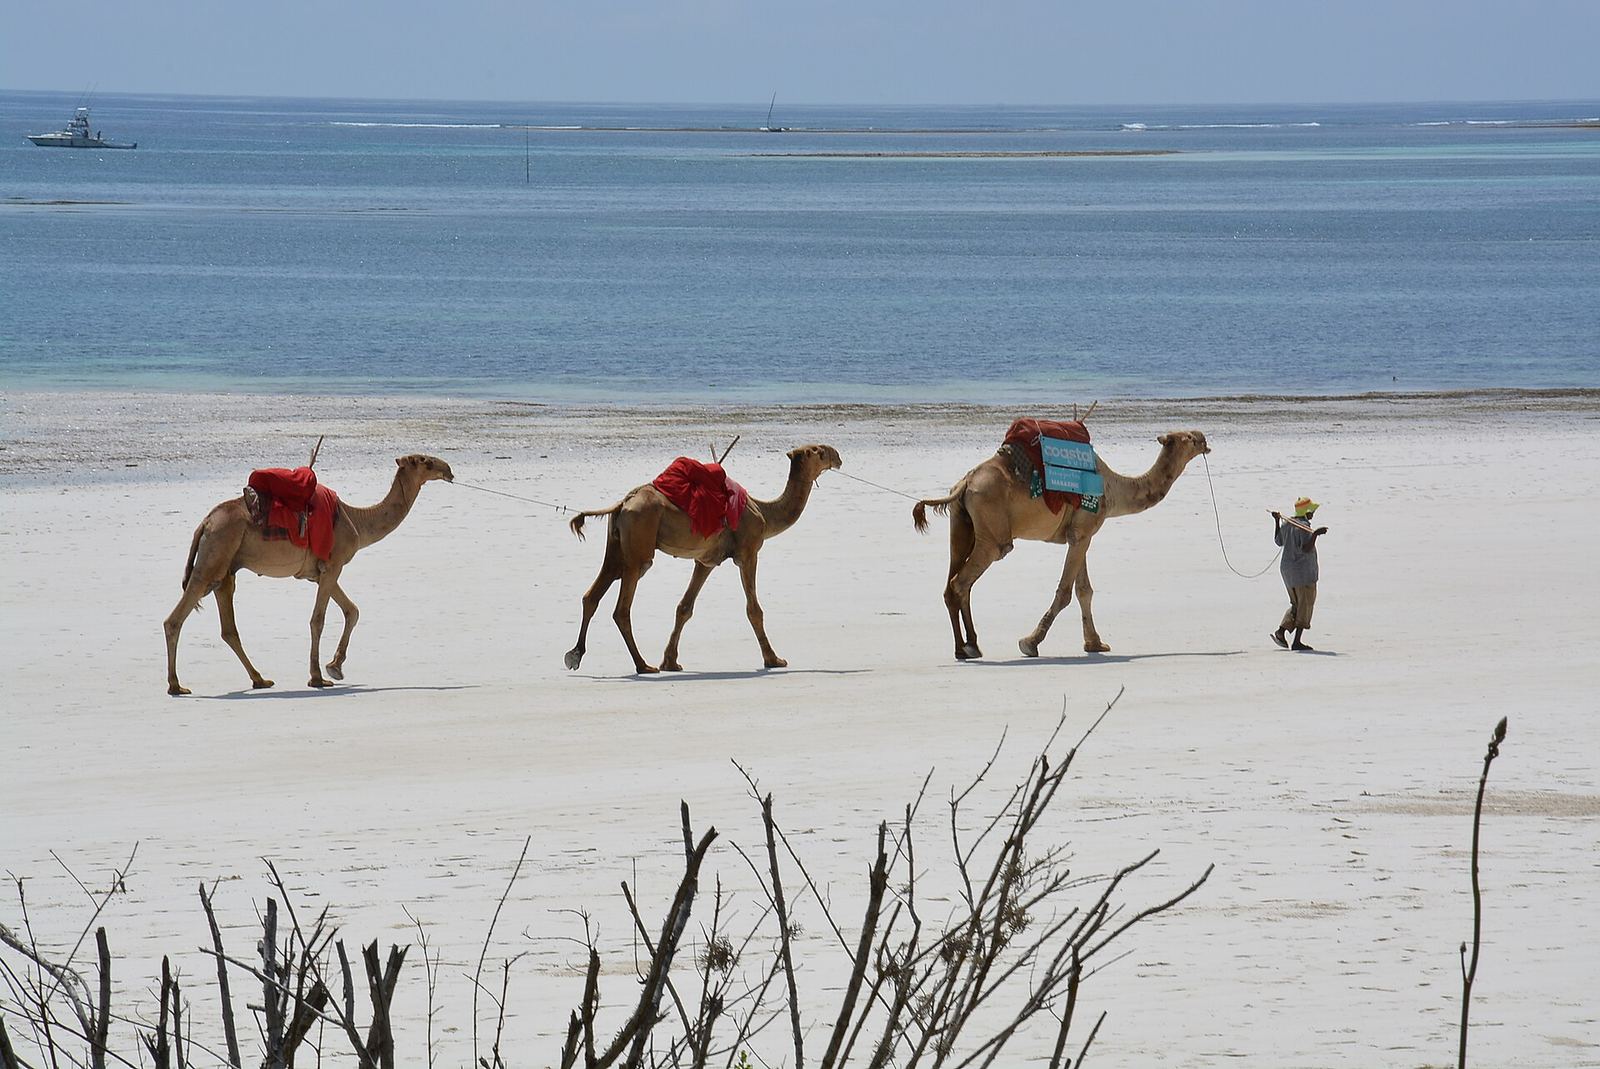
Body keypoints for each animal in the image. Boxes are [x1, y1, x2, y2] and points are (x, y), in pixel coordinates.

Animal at [163, 454, 455, 695]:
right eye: (425, 461)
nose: (449, 470)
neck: (356, 519)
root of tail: (205, 523)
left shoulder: (321, 571)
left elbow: (352, 610)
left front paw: (335, 667)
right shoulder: (334, 565)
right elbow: (318, 620)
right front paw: (317, 677)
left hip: (225, 569)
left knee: (228, 627)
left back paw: (260, 679)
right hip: (214, 555)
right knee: (175, 619)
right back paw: (176, 685)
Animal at [563, 444, 843, 674]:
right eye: (818, 451)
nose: (838, 456)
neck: (764, 511)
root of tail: (623, 503)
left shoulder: (706, 561)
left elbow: (684, 608)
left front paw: (671, 662)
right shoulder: (748, 552)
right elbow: (754, 609)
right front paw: (774, 660)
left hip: (616, 547)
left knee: (593, 594)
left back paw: (576, 654)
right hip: (638, 548)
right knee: (622, 608)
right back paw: (643, 665)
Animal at [913, 430, 1210, 660]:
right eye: (1188, 438)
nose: (1203, 438)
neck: (1112, 487)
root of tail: (965, 483)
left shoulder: (1079, 533)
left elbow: (1083, 590)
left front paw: (1095, 643)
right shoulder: (1083, 531)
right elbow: (1066, 591)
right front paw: (1030, 642)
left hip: (961, 524)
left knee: (953, 582)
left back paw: (966, 647)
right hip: (992, 537)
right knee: (962, 582)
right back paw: (968, 647)